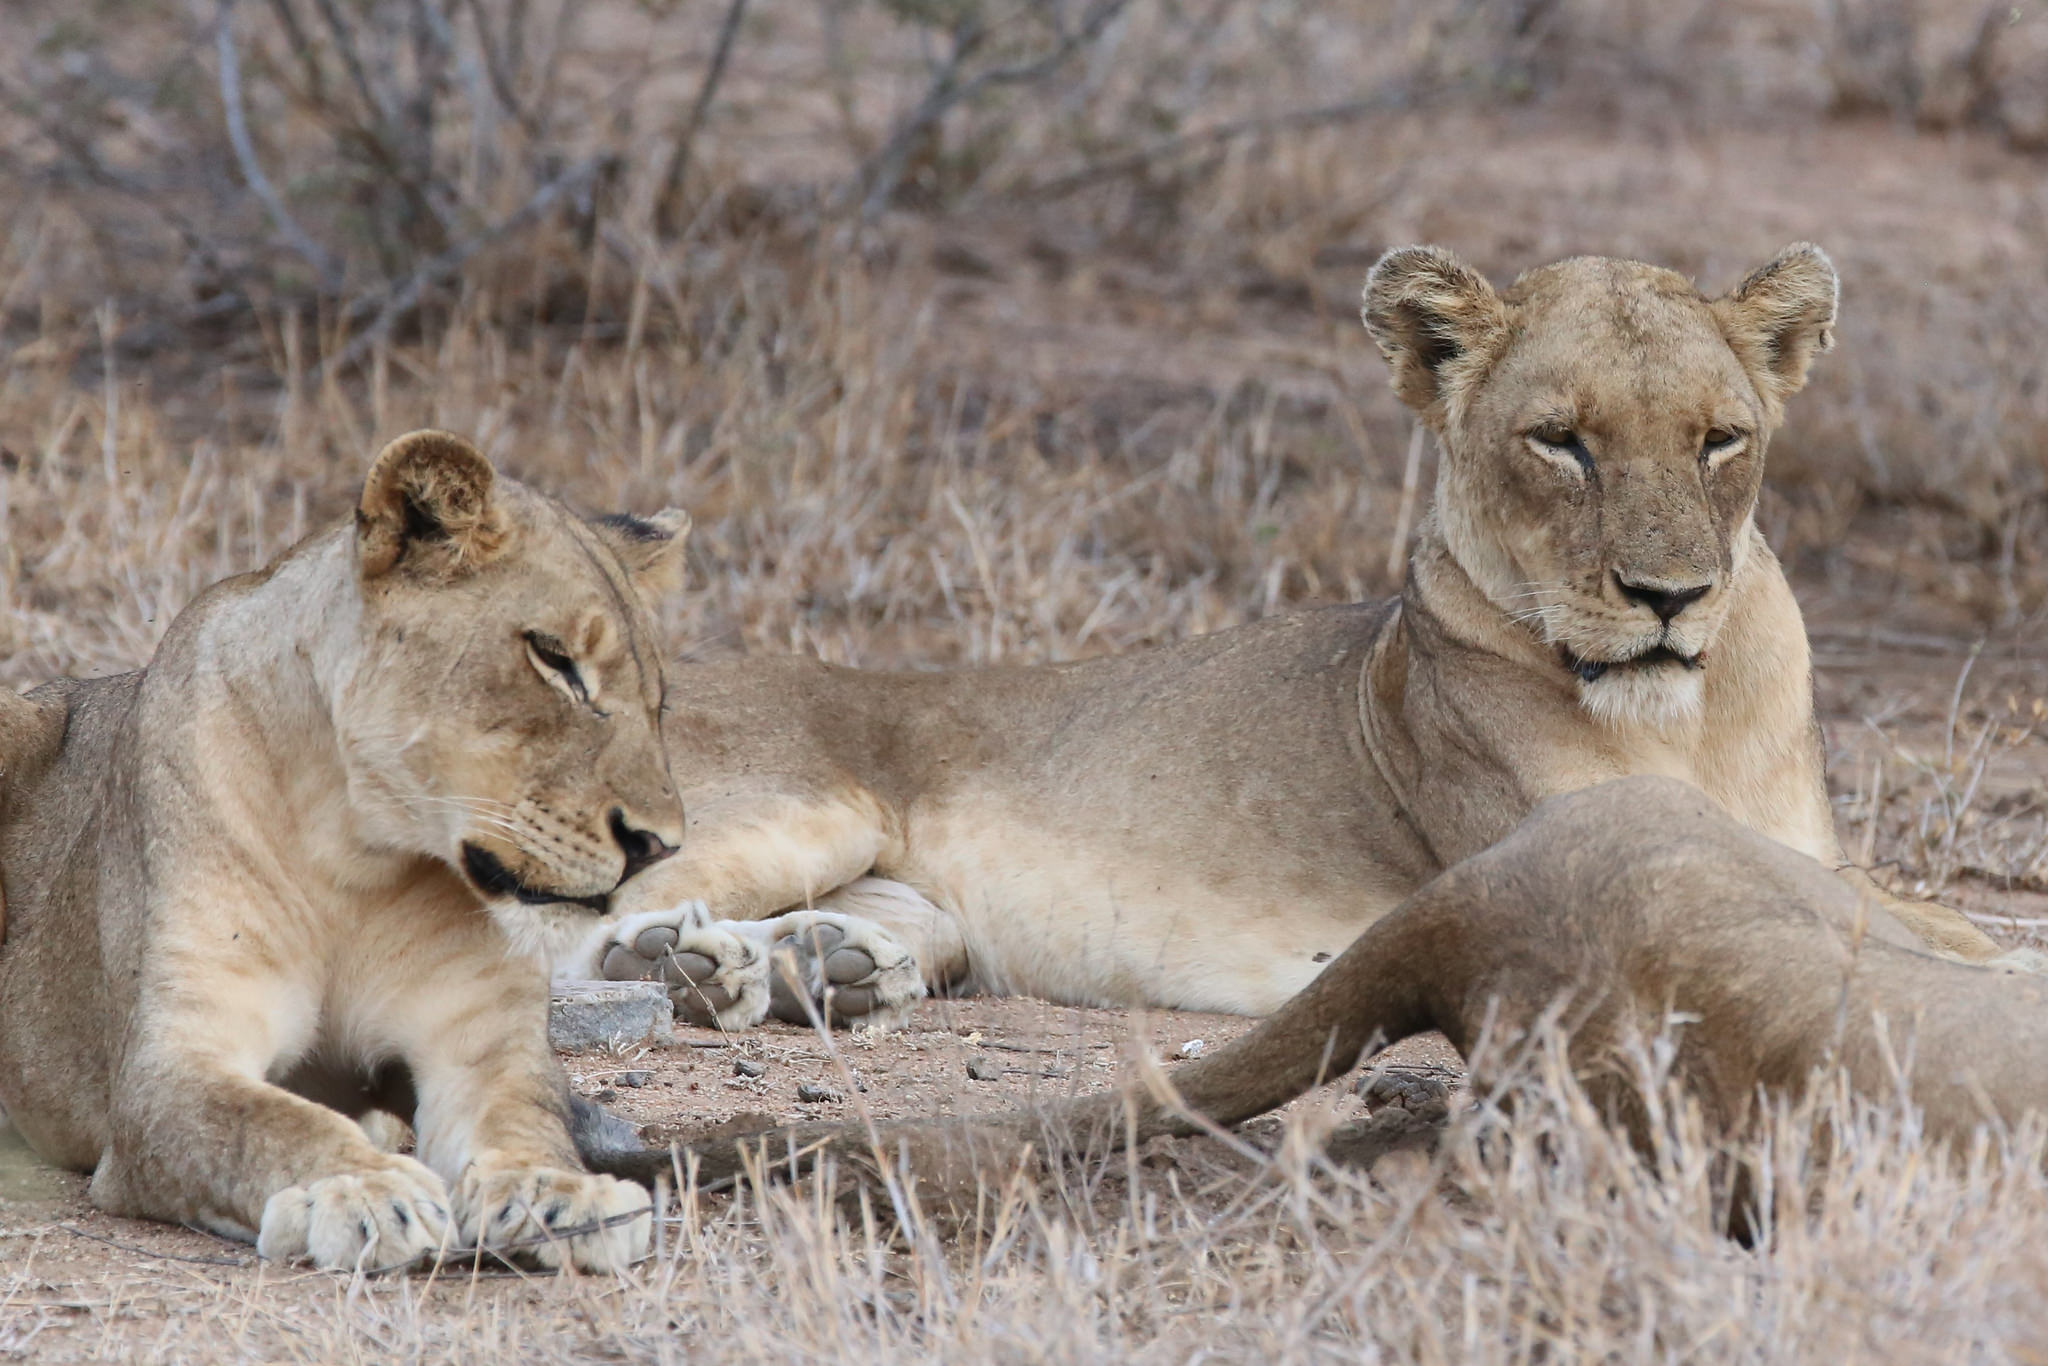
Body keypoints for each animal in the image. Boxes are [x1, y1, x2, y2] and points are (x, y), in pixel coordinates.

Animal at [0, 432, 688, 1277]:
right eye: (553, 659)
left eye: (658, 699)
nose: (657, 846)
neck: (355, 855)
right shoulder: (169, 1067)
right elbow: (268, 1123)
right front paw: (365, 1192)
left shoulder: (481, 1046)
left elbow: (524, 1118)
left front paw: (560, 1192)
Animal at [561, 248, 2015, 1036]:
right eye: (1560, 441)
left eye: (1720, 438)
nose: (1667, 595)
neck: (1690, 717)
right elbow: (1901, 924)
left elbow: (1919, 908)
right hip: (790, 805)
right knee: (556, 934)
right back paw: (685, 967)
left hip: (900, 890)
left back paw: (807, 967)